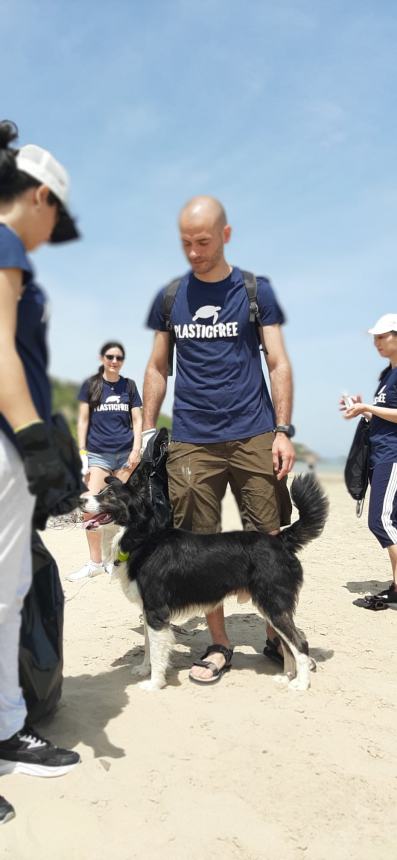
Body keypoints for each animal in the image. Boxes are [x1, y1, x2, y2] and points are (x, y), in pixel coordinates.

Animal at [81, 464, 328, 692]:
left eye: (110, 495)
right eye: (101, 491)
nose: (81, 499)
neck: (142, 537)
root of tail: (281, 540)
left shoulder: (156, 611)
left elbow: (157, 650)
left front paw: (154, 683)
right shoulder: (147, 609)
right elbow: (148, 644)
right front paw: (144, 669)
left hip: (273, 604)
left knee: (300, 643)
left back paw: (301, 684)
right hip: (271, 606)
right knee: (288, 645)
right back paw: (286, 677)